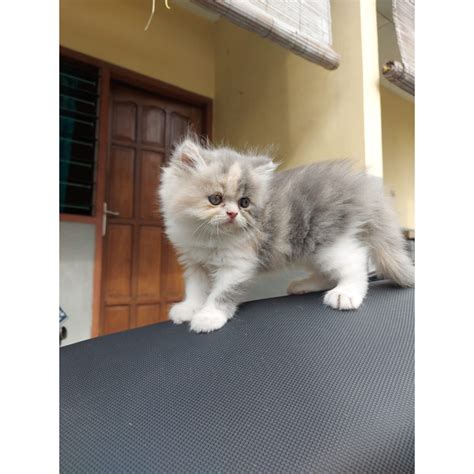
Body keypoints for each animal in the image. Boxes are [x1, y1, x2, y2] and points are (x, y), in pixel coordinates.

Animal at [157, 137, 412, 334]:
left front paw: (209, 316)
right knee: (328, 274)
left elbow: (223, 292)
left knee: (356, 262)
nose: (232, 213)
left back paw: (345, 294)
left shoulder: (238, 264)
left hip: (329, 242)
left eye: (244, 203)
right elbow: (196, 288)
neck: (209, 237)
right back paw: (304, 285)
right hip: (310, 250)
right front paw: (189, 308)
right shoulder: (194, 261)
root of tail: (362, 189)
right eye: (215, 199)